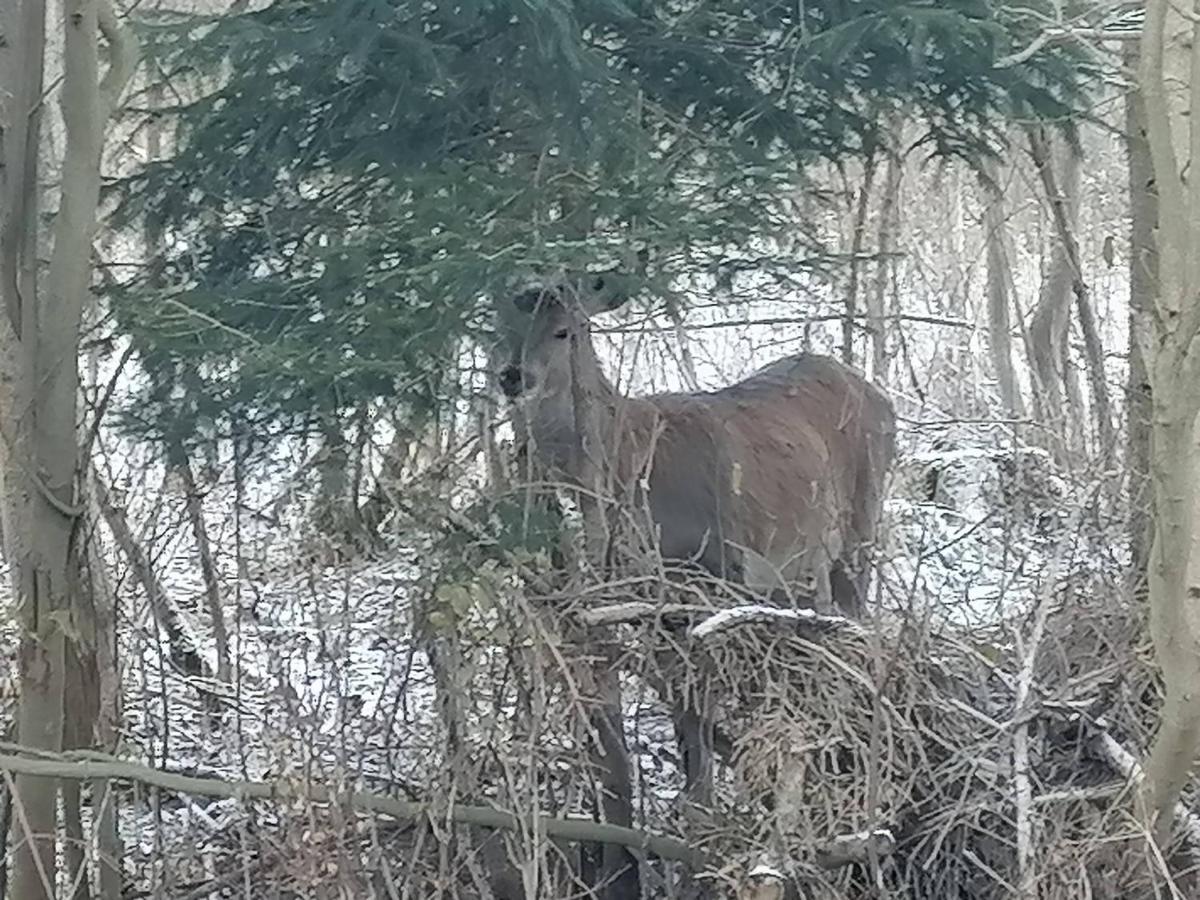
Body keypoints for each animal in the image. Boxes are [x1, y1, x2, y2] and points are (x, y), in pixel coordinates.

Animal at [492, 271, 897, 619]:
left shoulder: (726, 549)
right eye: (506, 330)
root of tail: (884, 400)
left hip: (861, 518)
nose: (511, 377)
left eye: (562, 331)